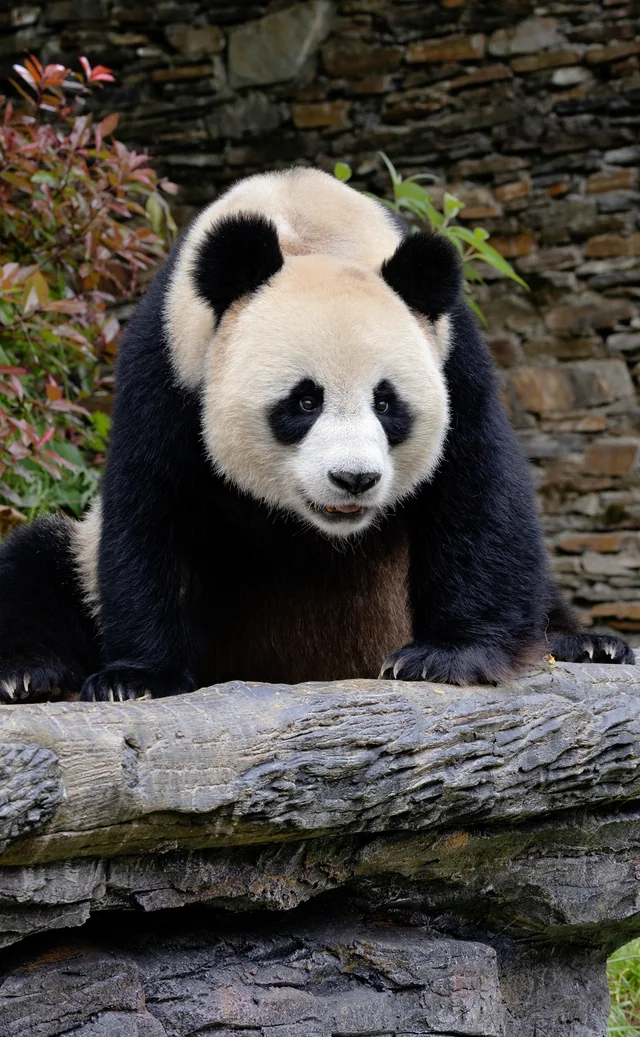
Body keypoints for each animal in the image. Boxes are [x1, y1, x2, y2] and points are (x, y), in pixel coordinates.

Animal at [0, 168, 633, 704]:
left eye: (387, 403)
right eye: (305, 401)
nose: (354, 479)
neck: (306, 232)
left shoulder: (454, 357)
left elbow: (476, 490)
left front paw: (447, 657)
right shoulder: (168, 369)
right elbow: (151, 507)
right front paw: (137, 679)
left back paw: (586, 643)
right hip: (78, 554)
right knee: (37, 562)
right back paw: (26, 673)